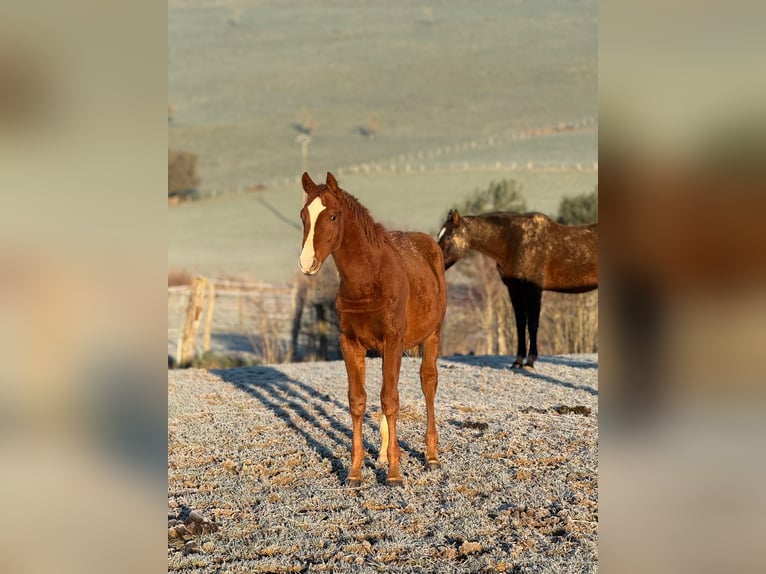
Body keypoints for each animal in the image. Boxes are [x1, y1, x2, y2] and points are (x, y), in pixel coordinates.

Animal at [299, 172, 447, 487]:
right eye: (304, 214)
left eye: (332, 216)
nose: (307, 263)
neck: (369, 278)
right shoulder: (351, 343)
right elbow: (359, 401)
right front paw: (355, 472)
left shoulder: (392, 341)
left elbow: (390, 400)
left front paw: (394, 474)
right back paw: (382, 454)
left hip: (432, 336)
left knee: (428, 383)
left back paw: (431, 456)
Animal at [437, 209, 598, 369]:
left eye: (449, 235)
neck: (513, 243)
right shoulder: (514, 289)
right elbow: (520, 324)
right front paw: (518, 360)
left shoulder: (534, 290)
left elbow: (532, 324)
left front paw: (530, 362)